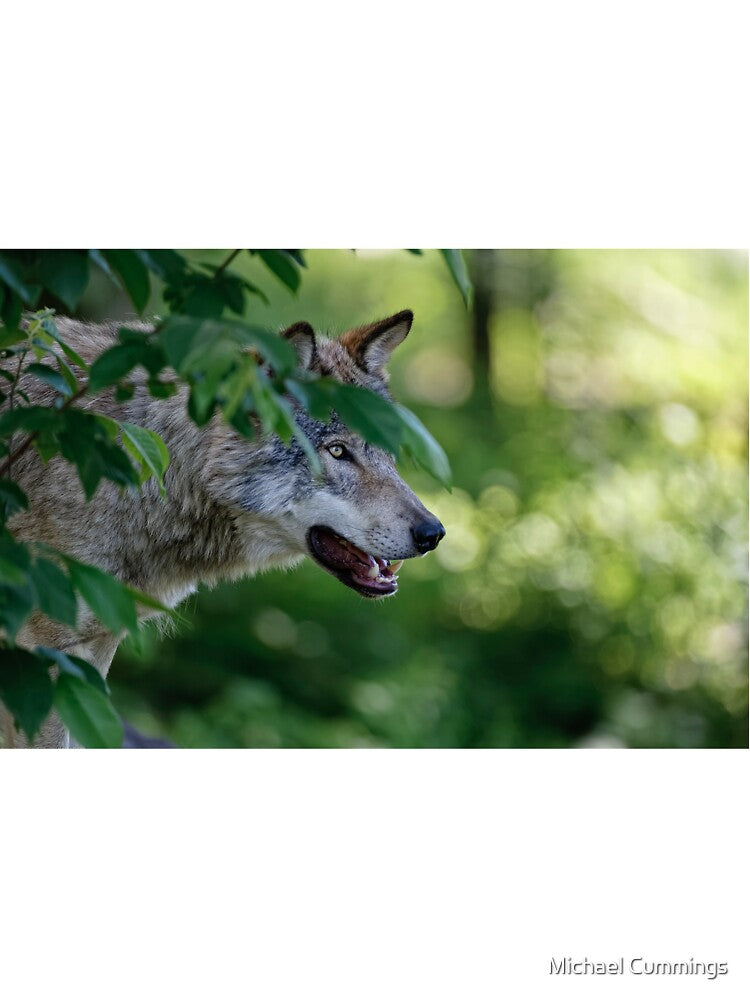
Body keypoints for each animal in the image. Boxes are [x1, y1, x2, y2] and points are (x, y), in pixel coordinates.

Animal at [2, 309, 445, 748]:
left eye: (388, 453)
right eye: (337, 450)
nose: (434, 533)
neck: (149, 470)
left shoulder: (94, 648)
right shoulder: (47, 653)